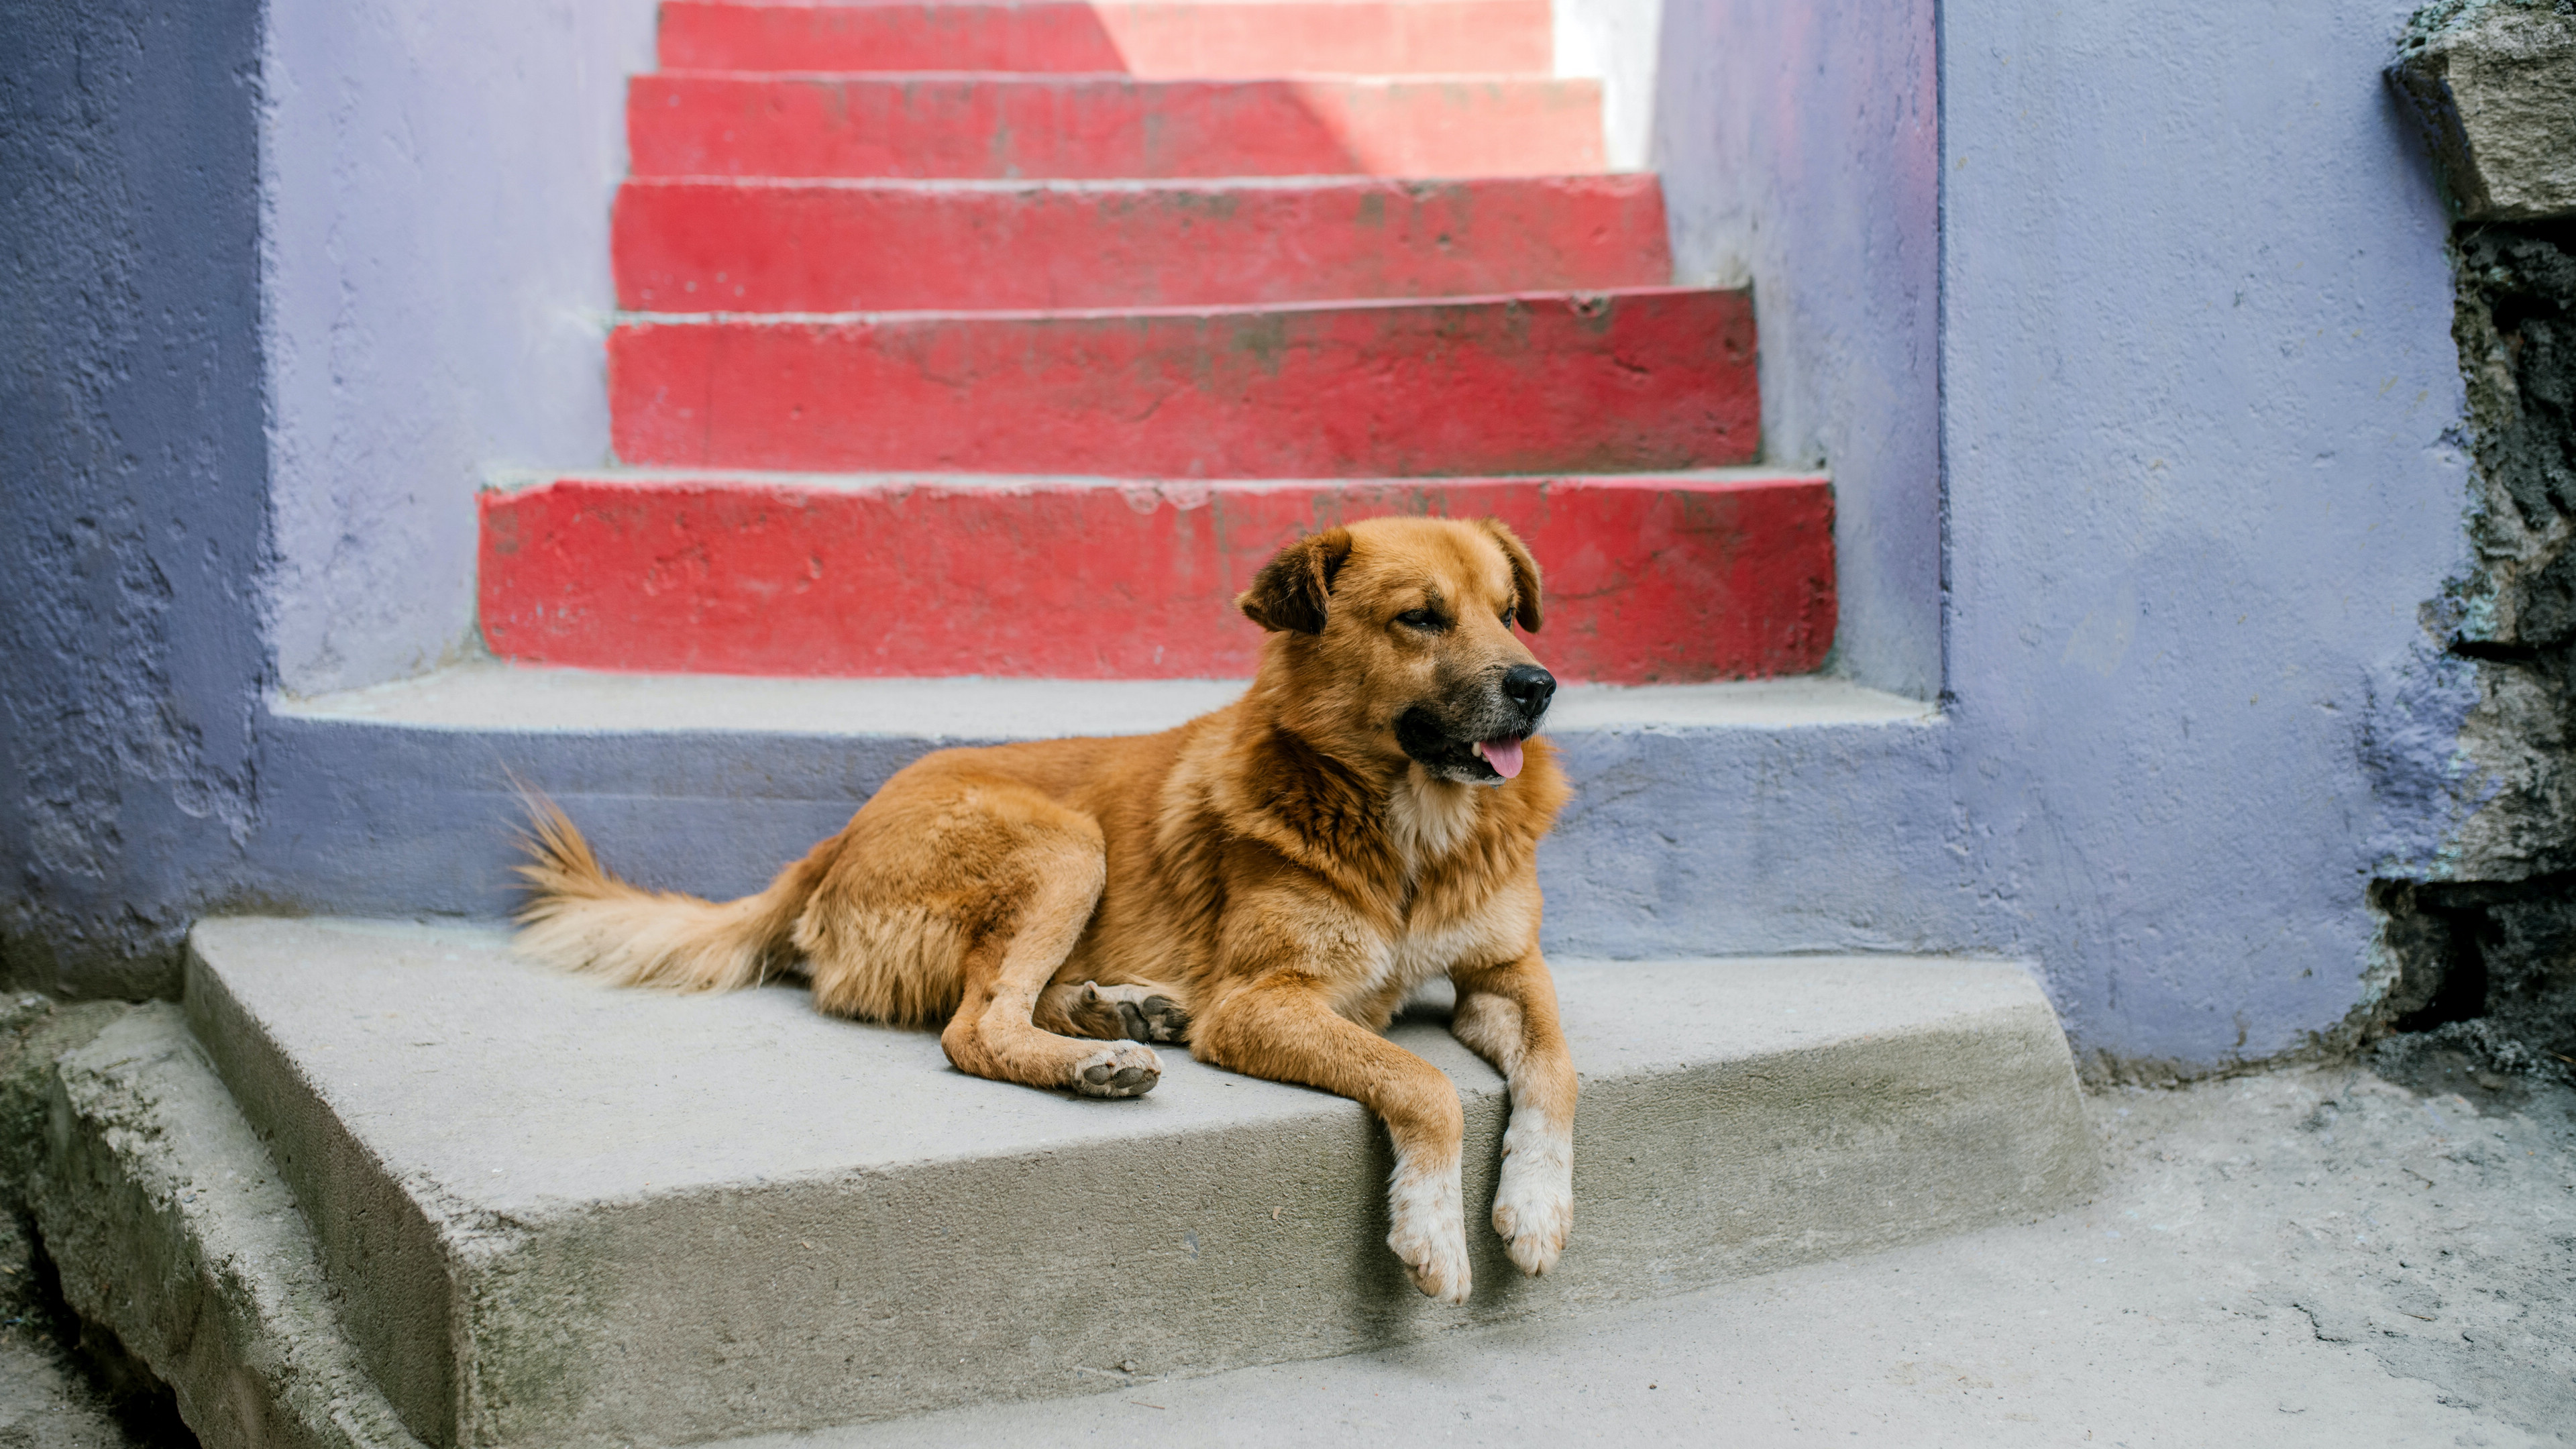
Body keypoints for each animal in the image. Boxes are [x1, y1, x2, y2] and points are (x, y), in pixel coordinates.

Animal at [515, 515, 1576, 1299]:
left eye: (1509, 614)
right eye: (1420, 618)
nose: (1539, 686)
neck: (1414, 828)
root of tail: (838, 837)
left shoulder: (1506, 972)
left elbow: (1557, 1073)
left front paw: (1536, 1208)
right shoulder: (1260, 1001)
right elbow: (1421, 1082)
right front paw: (1432, 1228)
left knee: (1003, 1002)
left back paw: (1125, 1012)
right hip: (1066, 843)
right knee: (974, 1026)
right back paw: (1093, 1061)